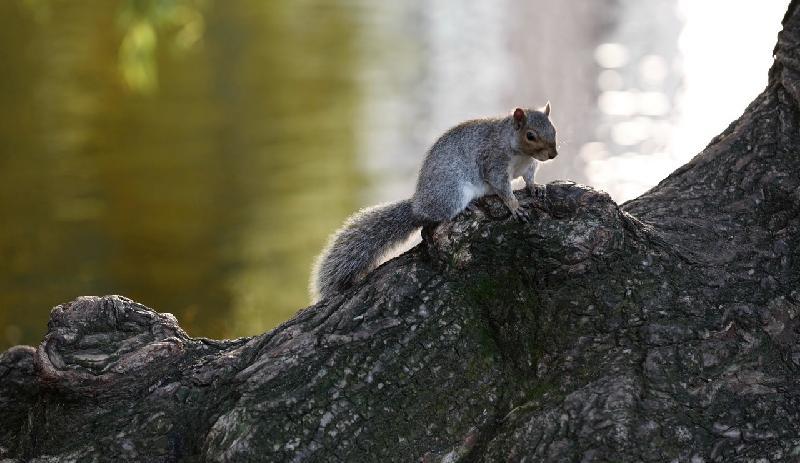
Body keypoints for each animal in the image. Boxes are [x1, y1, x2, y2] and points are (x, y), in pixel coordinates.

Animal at [310, 103, 560, 302]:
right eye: (530, 135)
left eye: (553, 129)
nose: (554, 154)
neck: (520, 153)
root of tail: (418, 206)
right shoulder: (493, 161)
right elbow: (502, 187)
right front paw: (515, 206)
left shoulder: (527, 166)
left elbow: (529, 178)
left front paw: (535, 187)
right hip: (452, 192)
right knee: (439, 215)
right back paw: (464, 209)